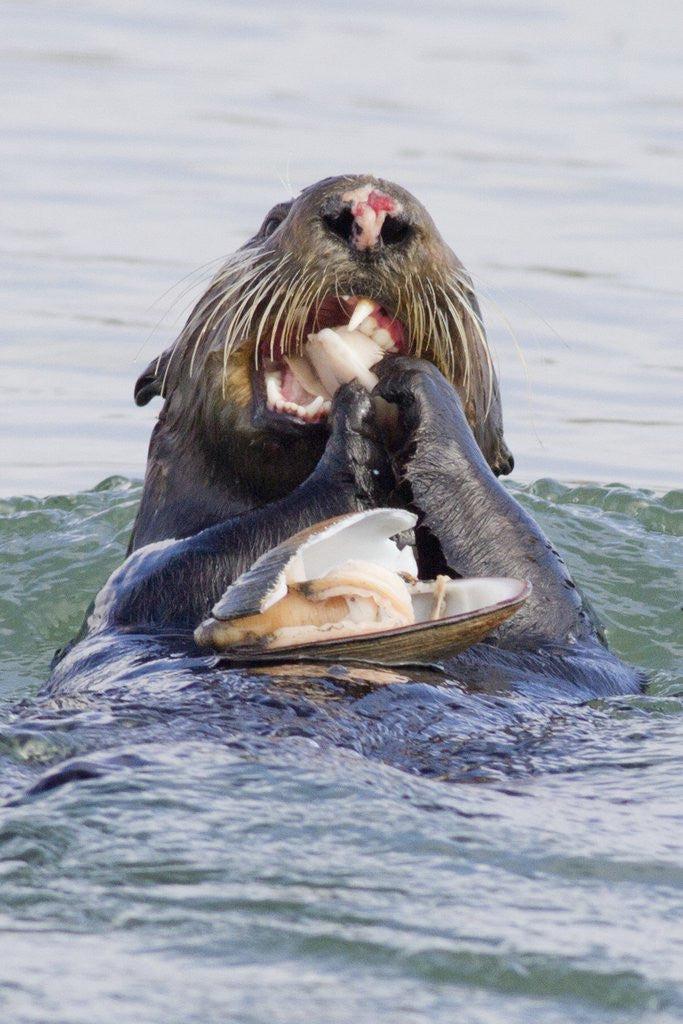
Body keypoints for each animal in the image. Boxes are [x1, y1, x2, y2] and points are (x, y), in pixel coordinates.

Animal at [50, 175, 642, 698]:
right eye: (270, 222)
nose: (370, 213)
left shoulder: (576, 645)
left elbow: (542, 594)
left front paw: (419, 387)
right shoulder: (134, 590)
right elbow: (196, 562)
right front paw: (354, 425)